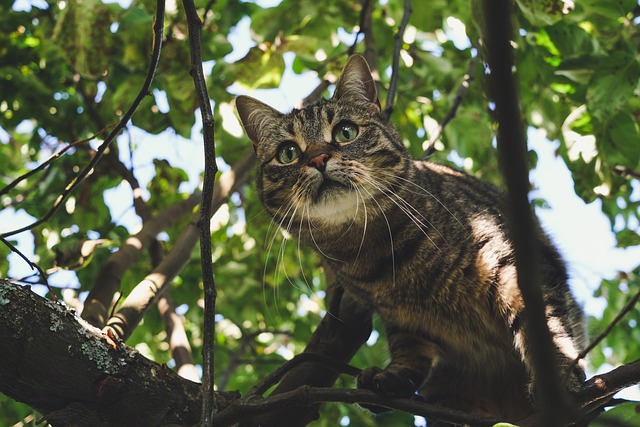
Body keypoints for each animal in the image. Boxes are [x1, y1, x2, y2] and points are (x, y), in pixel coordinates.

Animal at [235, 56, 584, 422]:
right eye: (288, 153)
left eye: (346, 132)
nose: (317, 158)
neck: (373, 249)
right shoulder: (403, 320)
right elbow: (410, 350)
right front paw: (393, 376)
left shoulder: (511, 267)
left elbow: (545, 327)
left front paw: (559, 378)